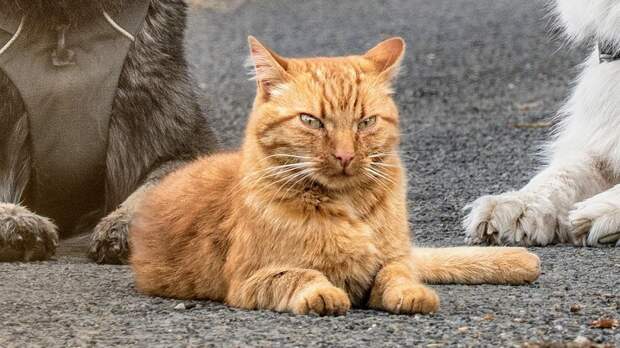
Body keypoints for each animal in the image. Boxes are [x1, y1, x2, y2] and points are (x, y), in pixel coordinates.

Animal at [128, 36, 540, 316]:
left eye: (365, 122)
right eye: (311, 121)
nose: (344, 155)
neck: (351, 207)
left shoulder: (393, 259)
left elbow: (399, 273)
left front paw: (412, 293)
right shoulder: (249, 279)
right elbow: (299, 275)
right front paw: (321, 293)